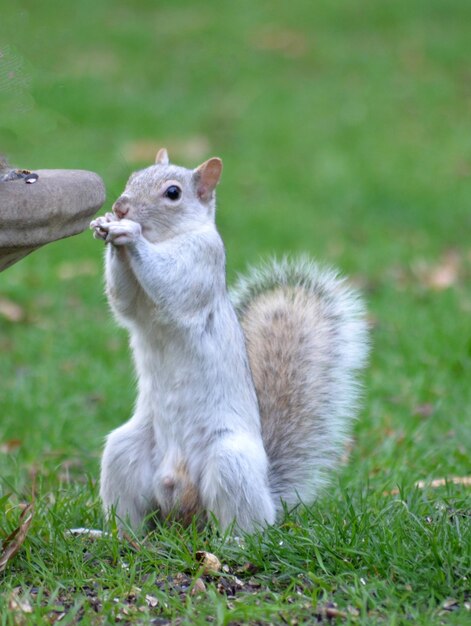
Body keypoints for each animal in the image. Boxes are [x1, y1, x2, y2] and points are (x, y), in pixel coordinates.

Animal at [89, 147, 368, 532]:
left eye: (173, 193)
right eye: (133, 177)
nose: (120, 207)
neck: (166, 239)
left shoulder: (202, 261)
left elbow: (171, 282)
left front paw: (128, 233)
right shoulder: (135, 302)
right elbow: (123, 299)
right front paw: (108, 229)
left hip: (229, 462)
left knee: (244, 523)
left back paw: (237, 539)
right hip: (124, 451)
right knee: (130, 512)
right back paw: (113, 535)